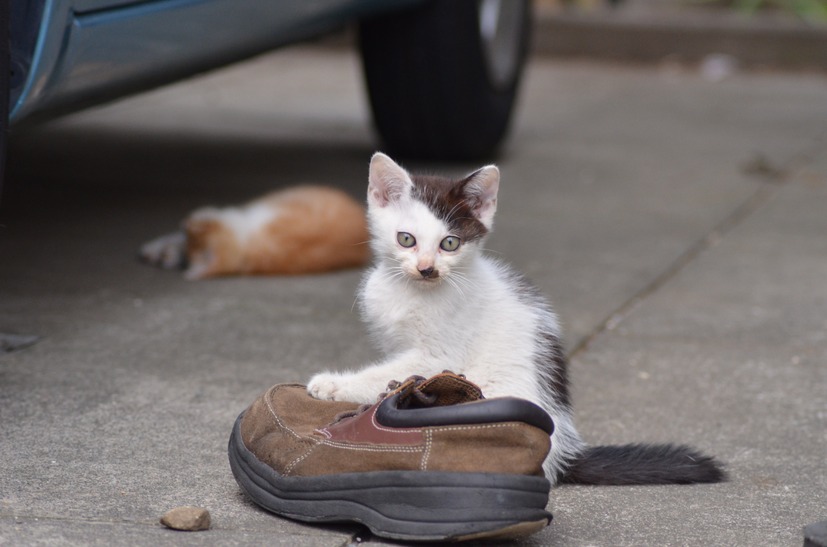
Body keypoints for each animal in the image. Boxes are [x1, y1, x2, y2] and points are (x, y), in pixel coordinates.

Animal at [306, 152, 724, 486]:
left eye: (450, 243)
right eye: (405, 239)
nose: (427, 269)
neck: (413, 292)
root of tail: (563, 455)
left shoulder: (437, 354)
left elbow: (387, 373)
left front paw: (333, 385)